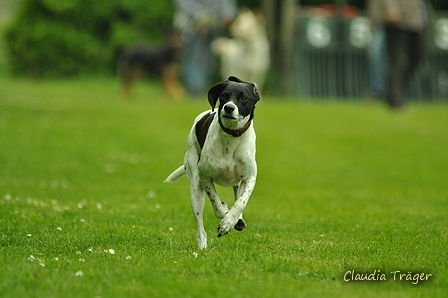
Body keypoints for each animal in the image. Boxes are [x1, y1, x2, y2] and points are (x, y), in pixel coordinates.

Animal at [166, 75, 260, 248]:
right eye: (223, 95)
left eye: (244, 97)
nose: (228, 108)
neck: (231, 137)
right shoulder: (205, 176)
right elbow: (217, 207)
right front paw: (226, 219)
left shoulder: (249, 178)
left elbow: (241, 202)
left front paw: (231, 220)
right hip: (195, 188)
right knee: (200, 229)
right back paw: (203, 246)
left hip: (237, 183)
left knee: (238, 197)